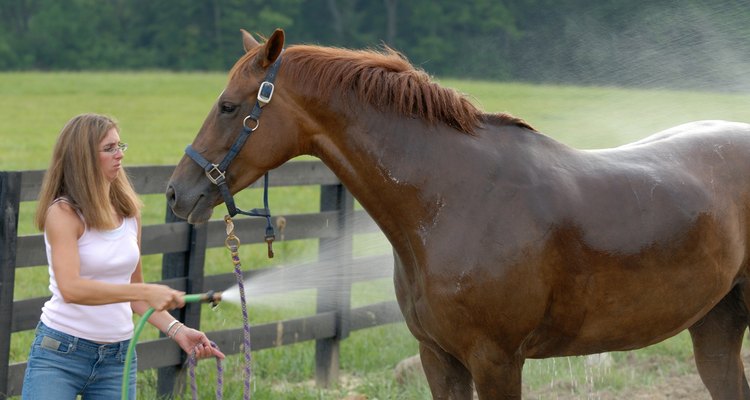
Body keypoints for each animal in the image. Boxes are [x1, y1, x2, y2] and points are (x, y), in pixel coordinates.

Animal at [167, 26, 750, 398]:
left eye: (229, 106)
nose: (176, 193)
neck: (455, 199)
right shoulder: (438, 358)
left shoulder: (496, 361)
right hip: (715, 328)